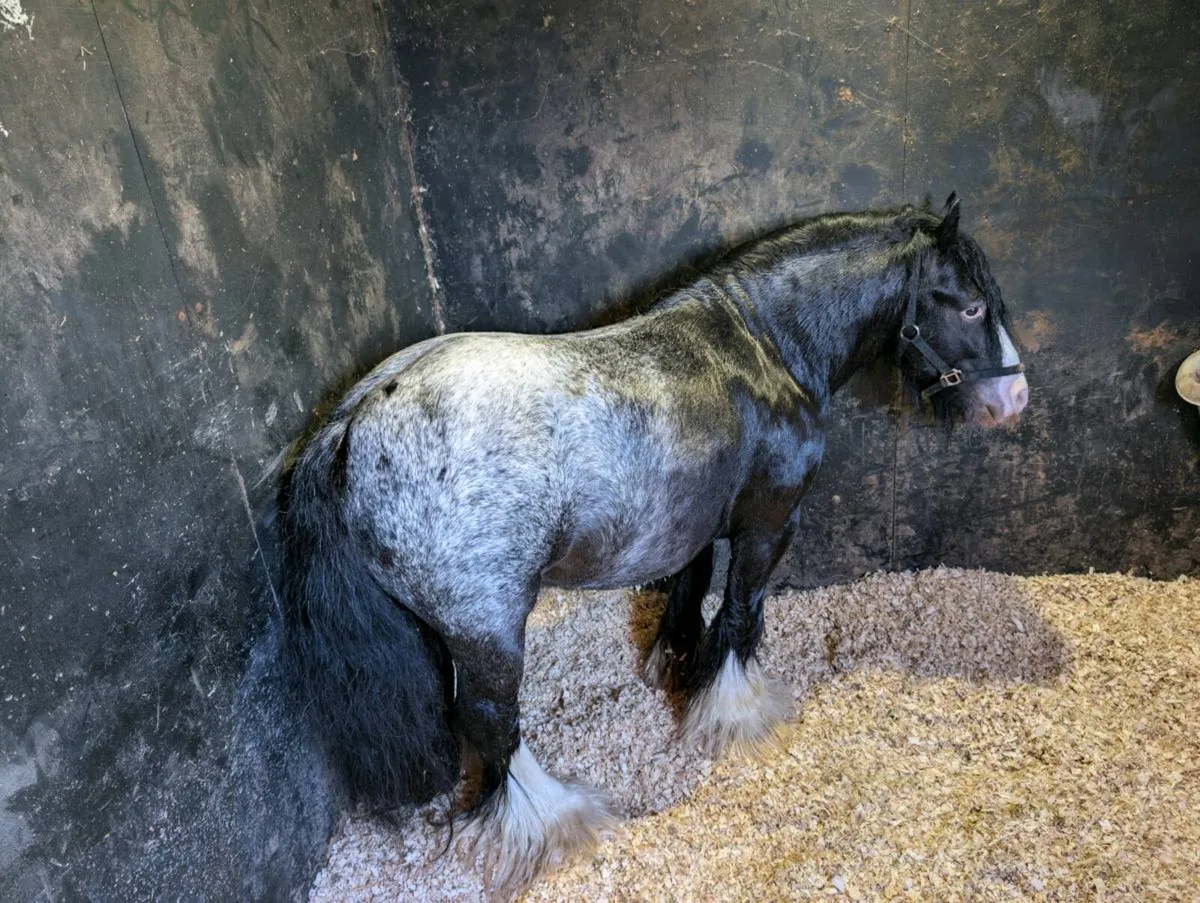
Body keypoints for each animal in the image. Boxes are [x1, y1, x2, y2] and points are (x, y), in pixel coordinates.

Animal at [279, 194, 1028, 895]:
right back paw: (554, 823)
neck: (763, 348)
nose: (1014, 399)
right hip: (487, 626)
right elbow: (740, 615)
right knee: (492, 721)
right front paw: (735, 716)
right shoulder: (768, 526)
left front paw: (674, 671)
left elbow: (689, 598)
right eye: (971, 306)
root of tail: (357, 416)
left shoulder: (691, 526)